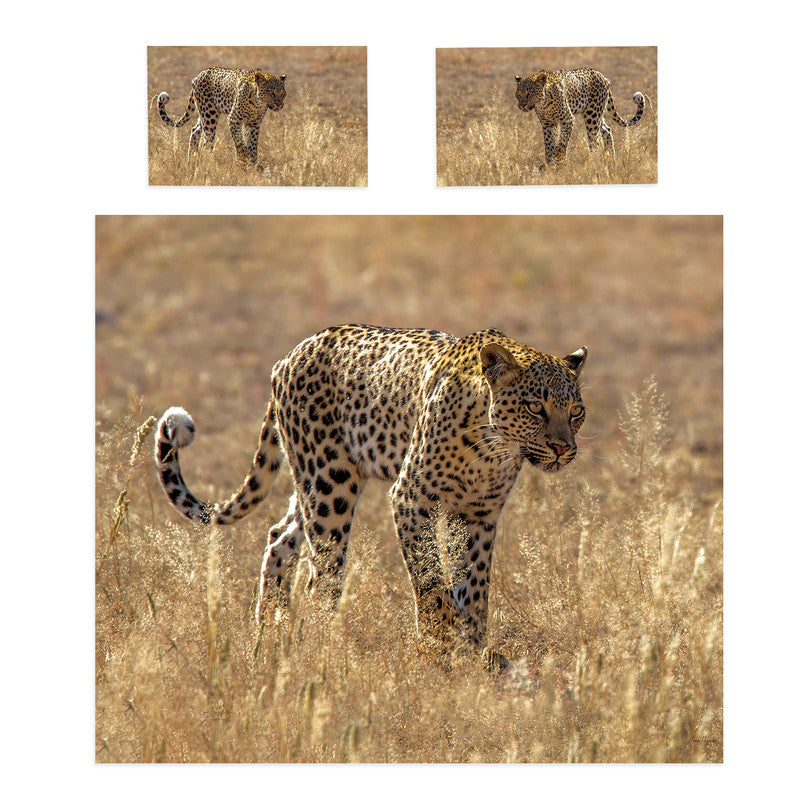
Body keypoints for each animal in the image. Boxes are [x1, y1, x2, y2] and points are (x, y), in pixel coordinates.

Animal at [154, 324, 587, 669]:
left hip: (316, 483)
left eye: (577, 412)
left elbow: (476, 585)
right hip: (329, 485)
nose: (564, 449)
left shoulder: (480, 514)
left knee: (280, 537)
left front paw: (473, 648)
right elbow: (431, 580)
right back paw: (326, 643)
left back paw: (268, 632)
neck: (492, 448)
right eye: (535, 408)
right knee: (321, 575)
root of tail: (289, 356)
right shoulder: (412, 499)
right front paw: (440, 644)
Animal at [156, 67, 286, 168]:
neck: (258, 104)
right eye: (271, 92)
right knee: (207, 141)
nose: (280, 105)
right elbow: (240, 143)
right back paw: (208, 161)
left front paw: (253, 164)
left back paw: (191, 160)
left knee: (195, 130)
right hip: (209, 115)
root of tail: (198, 76)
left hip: (205, 114)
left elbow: (253, 145)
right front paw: (243, 161)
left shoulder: (254, 124)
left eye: (283, 93)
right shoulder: (234, 119)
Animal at [514, 68, 645, 165]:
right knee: (607, 130)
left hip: (592, 115)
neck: (543, 104)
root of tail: (604, 77)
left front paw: (559, 160)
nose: (522, 105)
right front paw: (549, 163)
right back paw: (611, 159)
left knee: (595, 139)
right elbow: (548, 144)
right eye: (518, 94)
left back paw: (594, 160)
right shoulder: (548, 124)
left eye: (530, 93)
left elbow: (562, 142)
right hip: (596, 113)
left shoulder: (567, 119)